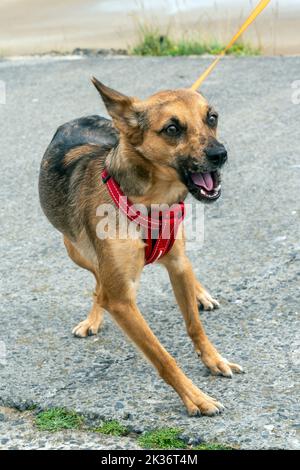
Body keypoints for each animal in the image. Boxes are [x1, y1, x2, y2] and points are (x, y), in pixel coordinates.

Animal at [38, 79, 244, 416]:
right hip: (74, 249)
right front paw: (195, 397)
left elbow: (195, 327)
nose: (220, 154)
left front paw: (214, 360)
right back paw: (94, 315)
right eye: (172, 128)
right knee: (97, 281)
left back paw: (200, 293)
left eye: (212, 118)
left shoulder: (176, 265)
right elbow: (162, 357)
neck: (150, 201)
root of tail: (79, 118)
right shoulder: (122, 300)